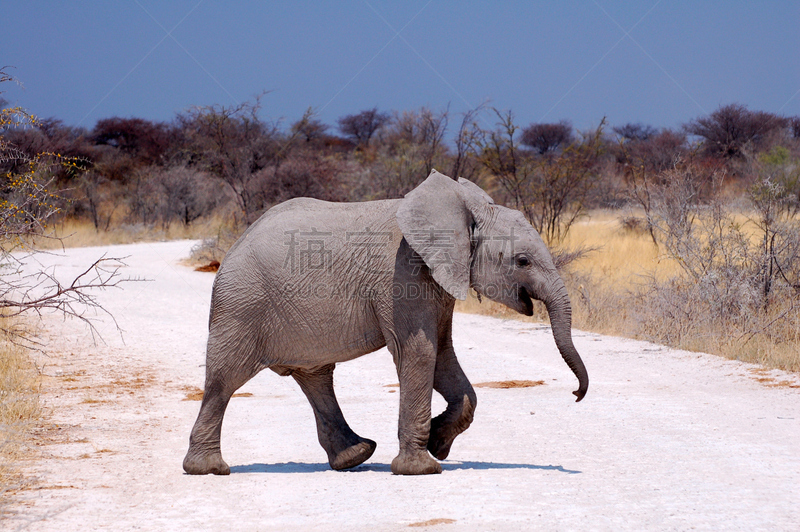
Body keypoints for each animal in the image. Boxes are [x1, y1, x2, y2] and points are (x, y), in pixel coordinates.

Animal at [183, 169, 588, 474]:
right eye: (522, 261)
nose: (576, 394)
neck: (462, 213)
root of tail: (235, 243)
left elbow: (443, 355)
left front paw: (439, 443)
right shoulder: (401, 276)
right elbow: (420, 352)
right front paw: (422, 469)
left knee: (315, 377)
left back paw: (355, 456)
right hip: (242, 305)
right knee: (225, 379)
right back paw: (208, 469)